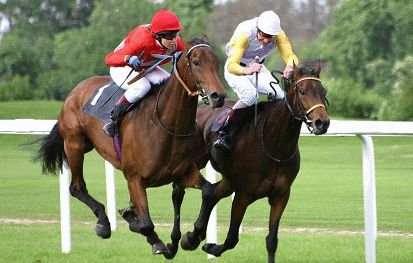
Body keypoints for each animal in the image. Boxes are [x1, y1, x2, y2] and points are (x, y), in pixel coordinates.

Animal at [36, 37, 225, 260]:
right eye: (196, 62)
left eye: (217, 61)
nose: (218, 96)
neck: (165, 125)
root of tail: (76, 90)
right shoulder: (134, 178)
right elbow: (145, 223)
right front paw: (152, 237)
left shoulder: (183, 172)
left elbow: (208, 191)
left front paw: (192, 237)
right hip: (75, 144)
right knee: (76, 187)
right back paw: (103, 223)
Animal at [180, 63, 328, 262]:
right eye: (303, 91)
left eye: (323, 91)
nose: (322, 122)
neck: (274, 145)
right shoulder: (243, 194)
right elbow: (232, 238)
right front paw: (212, 247)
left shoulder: (281, 195)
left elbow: (272, 240)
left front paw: (204, 242)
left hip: (229, 179)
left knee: (210, 193)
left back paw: (192, 237)